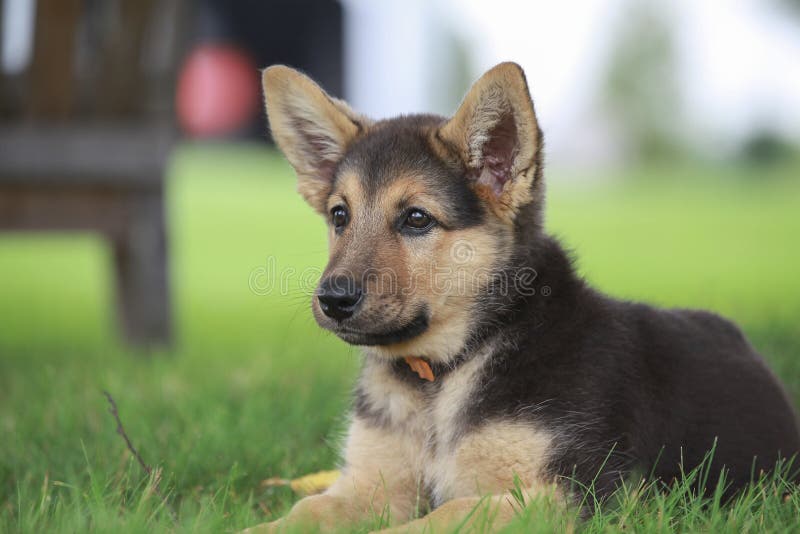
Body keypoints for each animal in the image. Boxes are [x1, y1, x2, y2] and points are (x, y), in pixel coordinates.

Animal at [252, 61, 800, 532]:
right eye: (340, 216)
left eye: (416, 219)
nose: (332, 300)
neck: (446, 370)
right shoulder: (370, 484)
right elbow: (303, 512)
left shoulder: (573, 493)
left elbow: (445, 515)